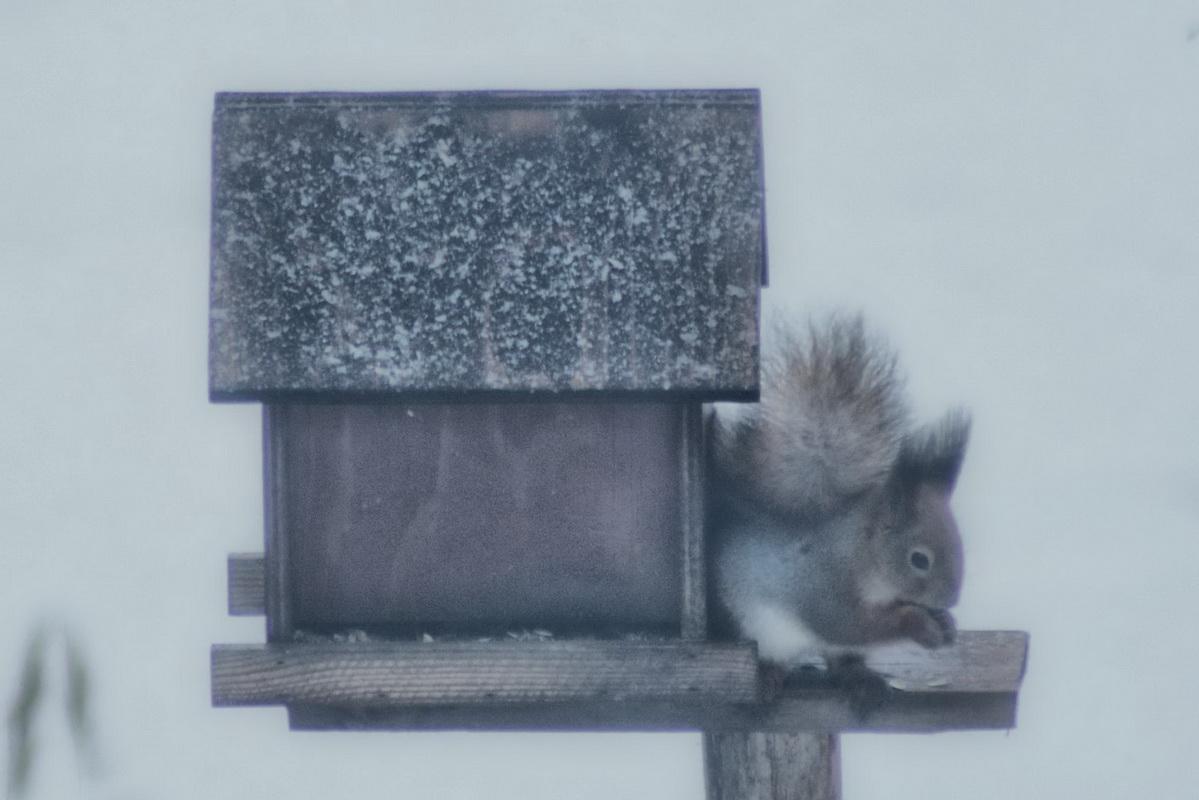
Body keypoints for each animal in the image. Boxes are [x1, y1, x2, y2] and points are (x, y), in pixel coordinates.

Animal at [707, 314, 970, 696]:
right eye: (919, 559)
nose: (950, 600)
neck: (861, 555)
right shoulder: (822, 585)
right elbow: (849, 625)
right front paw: (919, 626)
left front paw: (946, 623)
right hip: (755, 627)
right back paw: (769, 674)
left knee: (840, 659)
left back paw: (857, 676)